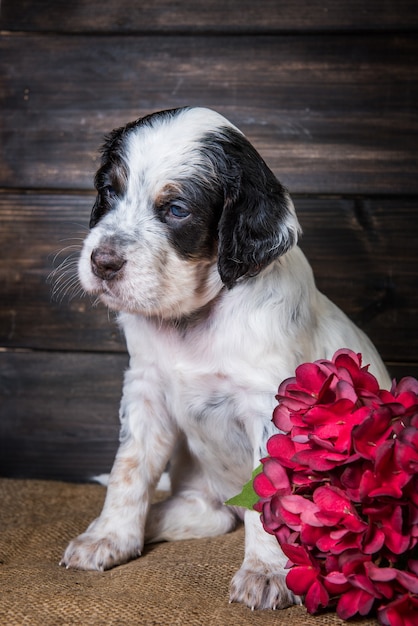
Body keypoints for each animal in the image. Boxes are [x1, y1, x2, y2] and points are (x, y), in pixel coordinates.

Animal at [62, 105, 392, 608]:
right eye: (108, 192)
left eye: (176, 210)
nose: (102, 262)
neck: (193, 316)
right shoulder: (145, 389)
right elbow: (129, 469)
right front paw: (109, 538)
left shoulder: (272, 404)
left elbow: (267, 491)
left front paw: (268, 573)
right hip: (205, 494)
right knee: (207, 514)